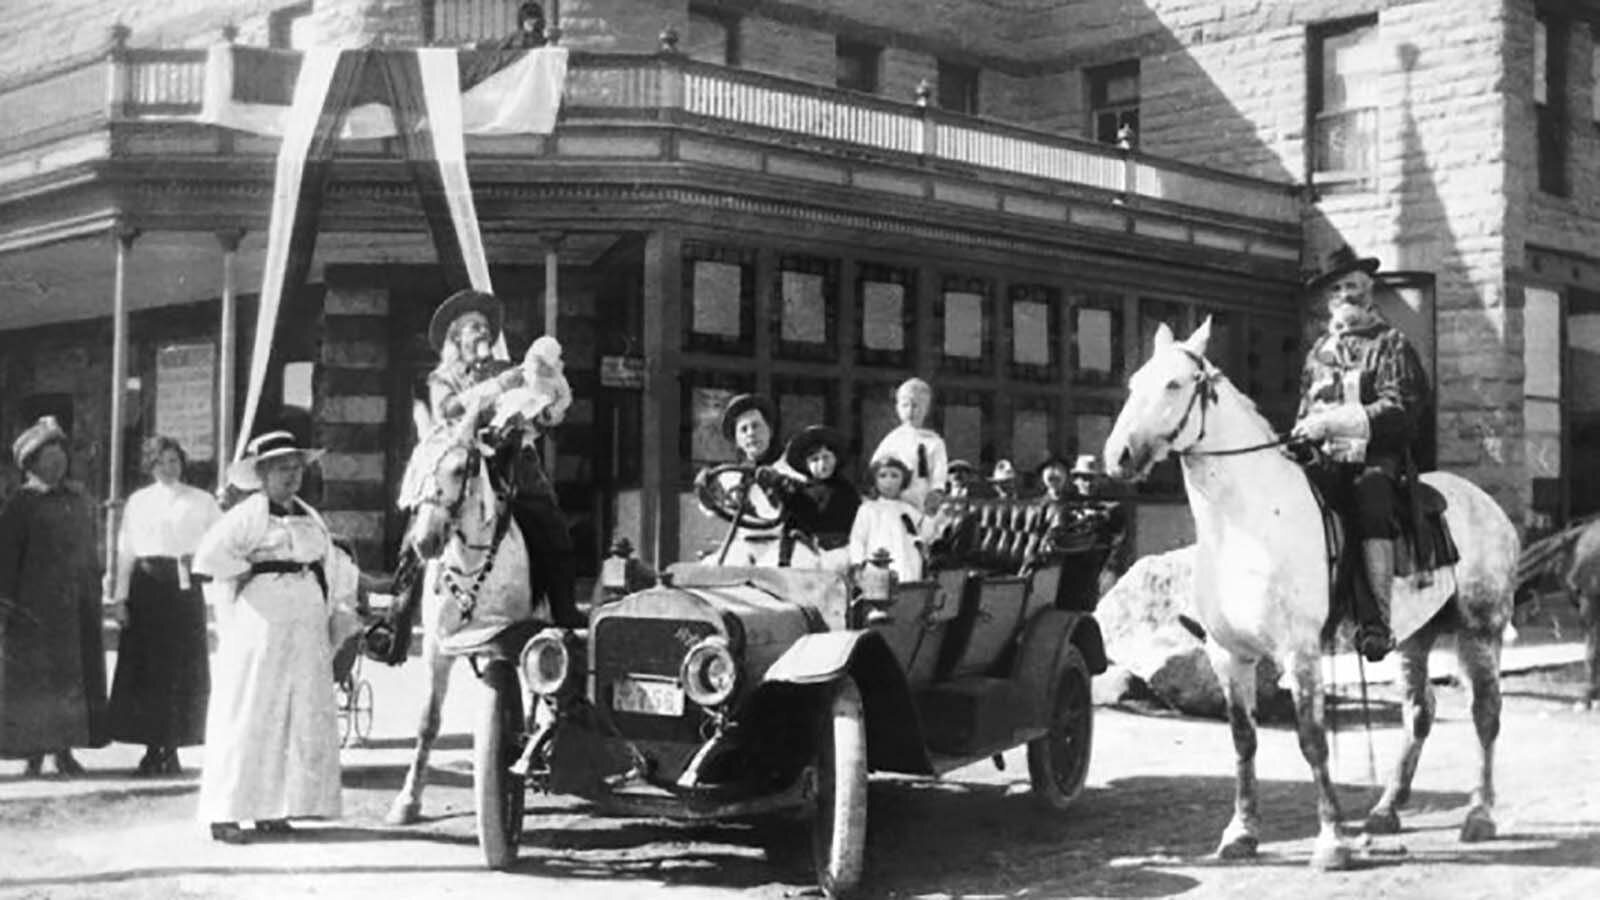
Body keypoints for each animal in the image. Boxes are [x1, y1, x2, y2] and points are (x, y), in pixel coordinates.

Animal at [385, 403, 544, 826]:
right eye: (415, 465)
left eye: (460, 469)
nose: (425, 541)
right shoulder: (437, 648)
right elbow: (428, 721)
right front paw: (408, 800)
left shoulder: (504, 644)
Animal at [1107, 318, 1516, 864]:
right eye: (1135, 383)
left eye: (1174, 384)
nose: (1118, 456)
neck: (1249, 524)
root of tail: (1488, 505)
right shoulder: (1228, 655)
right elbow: (1243, 741)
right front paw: (1241, 832)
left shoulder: (1299, 652)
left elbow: (1313, 739)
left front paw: (1331, 841)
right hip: (1415, 638)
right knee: (1419, 712)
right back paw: (1386, 810)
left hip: (1479, 630)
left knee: (1485, 715)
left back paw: (1479, 815)